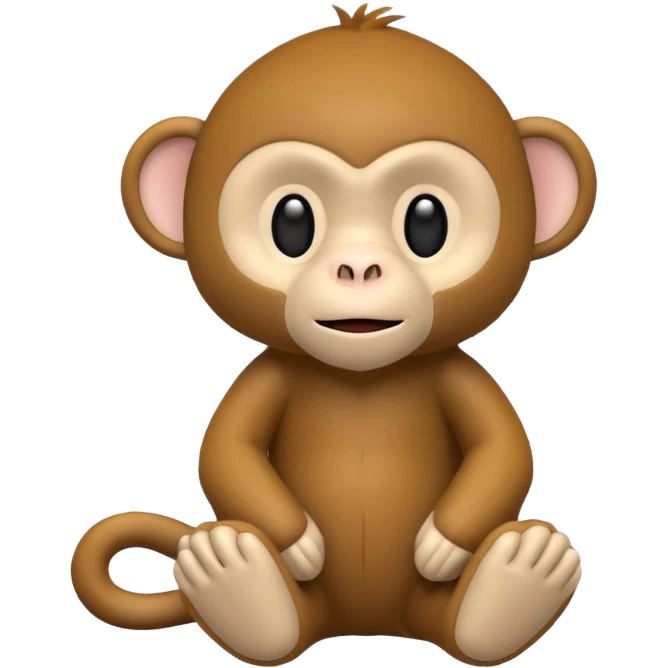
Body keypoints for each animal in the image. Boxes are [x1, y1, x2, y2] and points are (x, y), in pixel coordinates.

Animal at [72, 3, 597, 666]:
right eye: (291, 221)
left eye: (427, 221)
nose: (358, 267)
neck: (361, 377)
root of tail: (365, 622)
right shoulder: (270, 373)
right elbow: (227, 452)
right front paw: (300, 547)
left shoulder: (456, 373)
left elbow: (503, 449)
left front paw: (440, 546)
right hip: (311, 610)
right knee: (283, 622)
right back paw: (233, 577)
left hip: (426, 608)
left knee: (462, 623)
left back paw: (520, 575)